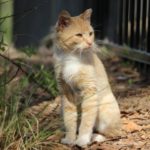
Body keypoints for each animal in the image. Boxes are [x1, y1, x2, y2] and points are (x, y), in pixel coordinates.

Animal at [51, 8, 120, 147]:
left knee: (112, 133)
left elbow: (87, 121)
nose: (90, 43)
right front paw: (70, 139)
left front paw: (82, 140)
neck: (71, 58)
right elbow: (69, 120)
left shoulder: (90, 91)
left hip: (104, 112)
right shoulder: (66, 93)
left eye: (90, 33)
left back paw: (95, 137)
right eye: (79, 35)